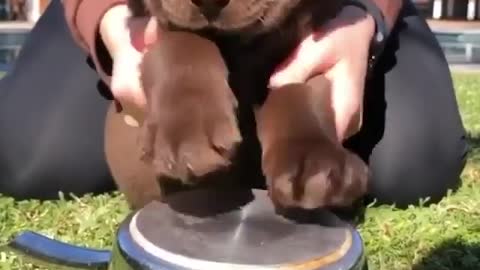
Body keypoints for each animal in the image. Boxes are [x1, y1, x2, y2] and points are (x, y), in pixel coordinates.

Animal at [105, 0, 368, 210]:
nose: (209, 0)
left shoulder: (308, 47)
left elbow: (300, 89)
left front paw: (313, 160)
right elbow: (181, 44)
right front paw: (187, 130)